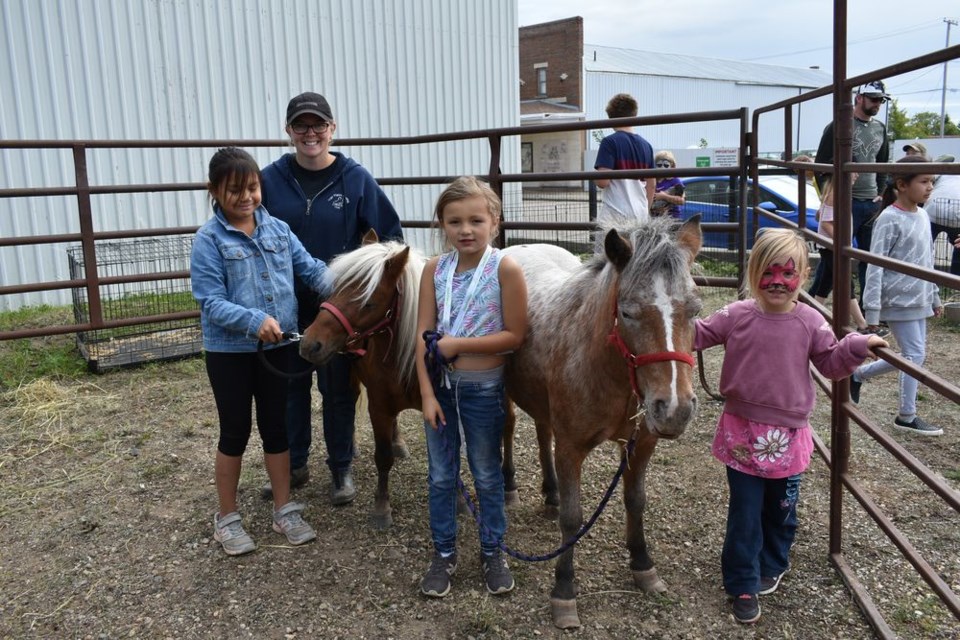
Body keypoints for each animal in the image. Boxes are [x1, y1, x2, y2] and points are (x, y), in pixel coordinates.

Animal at [502, 216, 704, 632]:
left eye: (694, 309)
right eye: (627, 313)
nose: (675, 408)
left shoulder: (642, 444)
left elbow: (635, 500)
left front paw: (643, 566)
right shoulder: (571, 448)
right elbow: (573, 518)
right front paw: (564, 590)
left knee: (541, 431)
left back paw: (550, 492)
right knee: (509, 427)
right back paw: (510, 487)